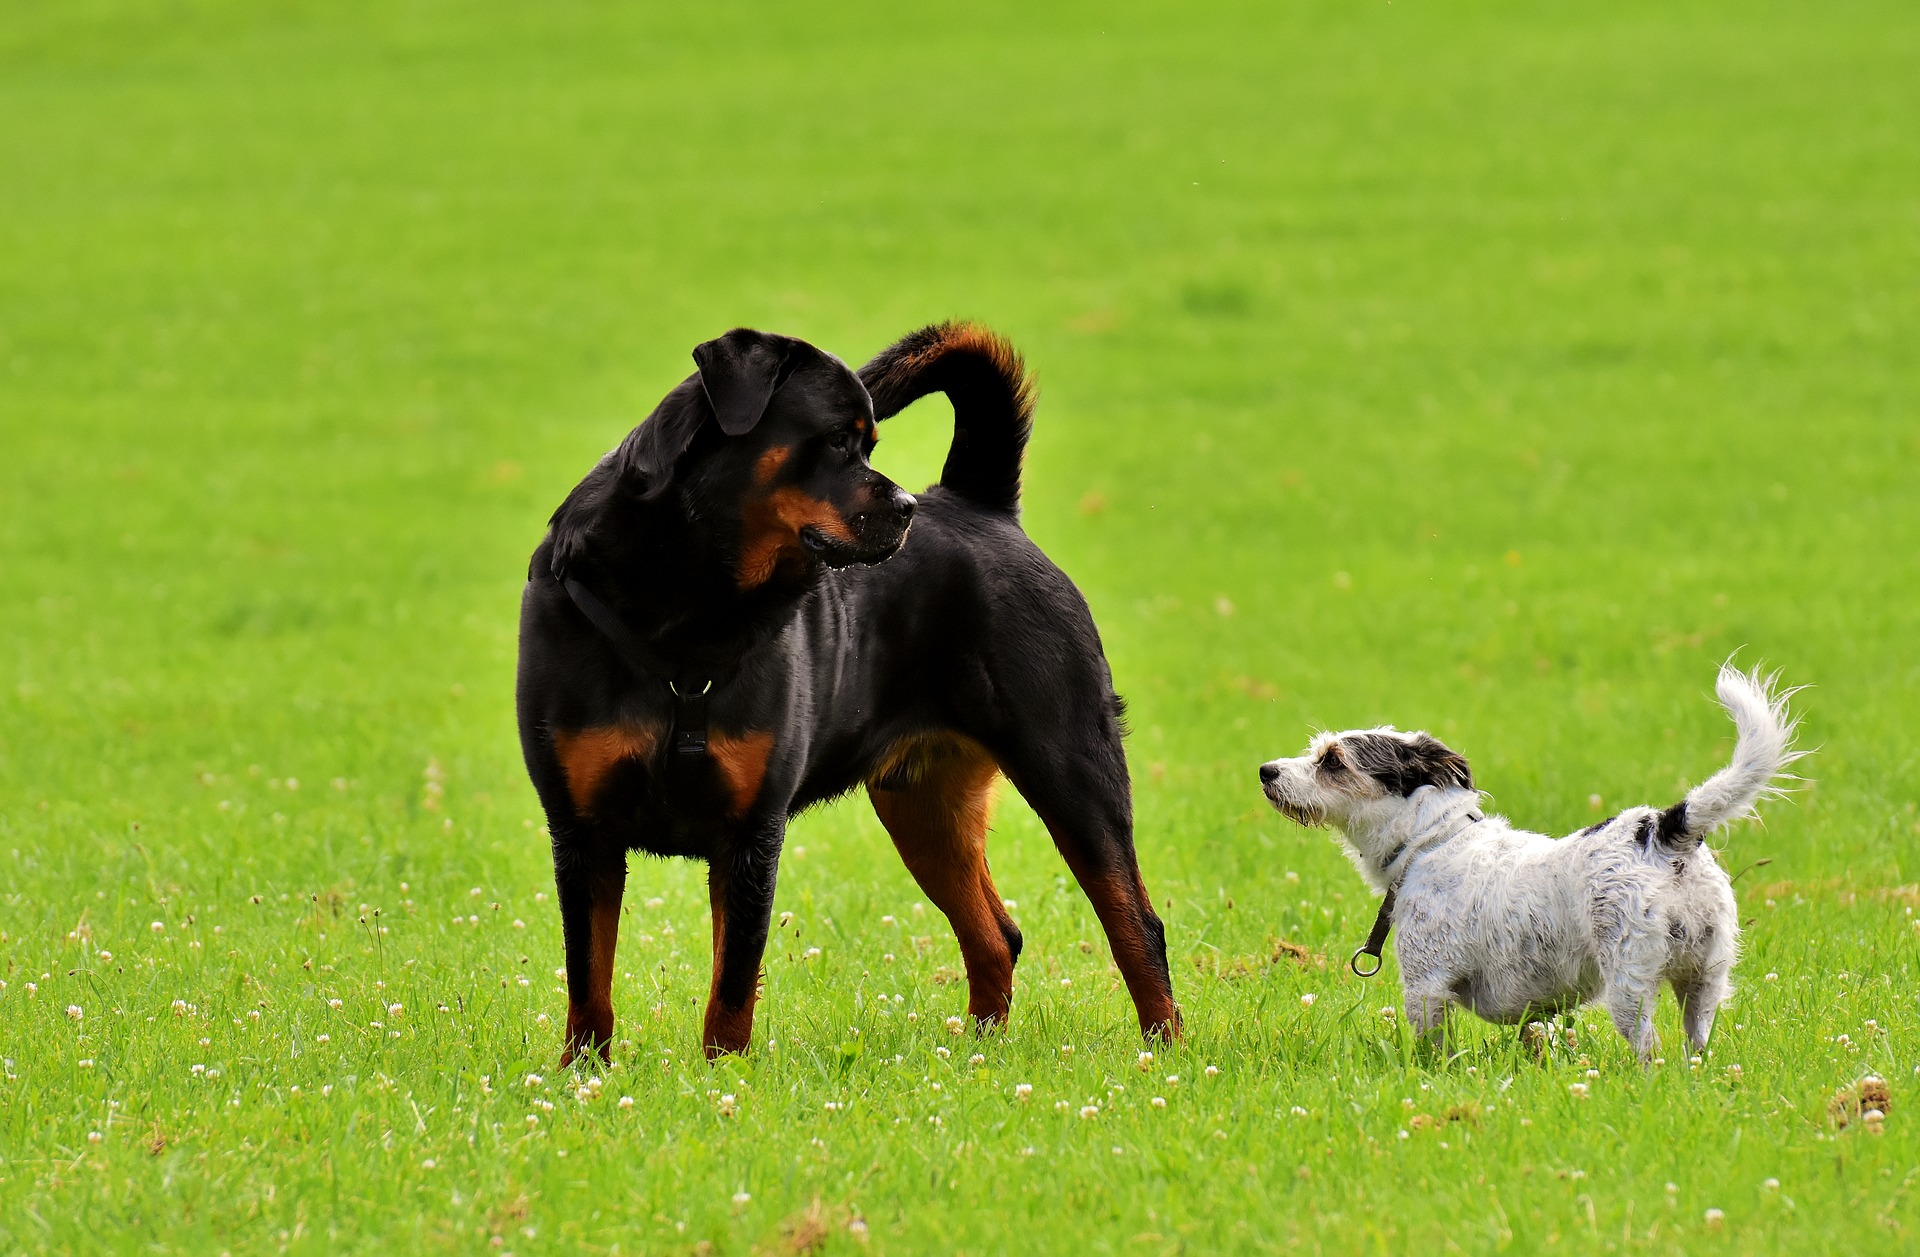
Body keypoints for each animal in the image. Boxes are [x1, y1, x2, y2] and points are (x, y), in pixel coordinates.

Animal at [518, 324, 1175, 1059]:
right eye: (837, 439)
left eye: (869, 445)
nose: (907, 507)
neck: (687, 599)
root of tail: (982, 504)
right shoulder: (582, 831)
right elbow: (588, 981)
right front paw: (584, 1073)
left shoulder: (751, 835)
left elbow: (731, 989)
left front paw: (723, 1074)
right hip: (924, 806)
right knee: (995, 936)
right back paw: (977, 1052)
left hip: (1070, 767)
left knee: (1136, 924)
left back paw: (1164, 1052)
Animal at [1259, 664, 1797, 1059]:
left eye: (1332, 762)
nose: (1266, 770)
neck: (1432, 841)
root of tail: (1664, 828)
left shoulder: (1426, 988)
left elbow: (1434, 1052)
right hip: (1704, 981)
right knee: (1696, 1048)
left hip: (1630, 982)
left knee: (1649, 1049)